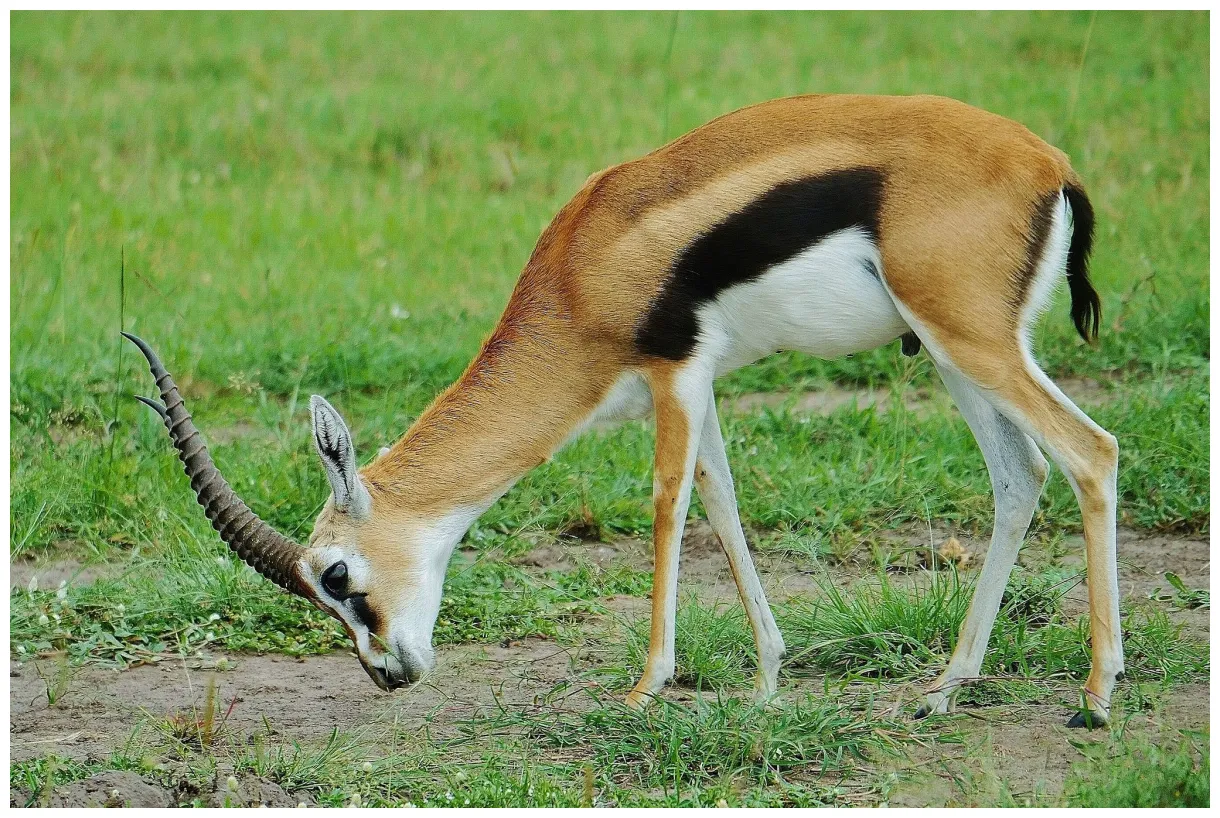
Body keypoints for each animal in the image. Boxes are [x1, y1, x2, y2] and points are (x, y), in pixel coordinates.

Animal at [128, 93, 1121, 727]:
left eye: (336, 576)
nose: (387, 675)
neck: (581, 271)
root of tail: (1052, 164)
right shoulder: (698, 382)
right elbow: (722, 500)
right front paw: (766, 680)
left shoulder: (674, 371)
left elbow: (669, 505)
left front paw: (646, 689)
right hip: (954, 353)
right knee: (1019, 477)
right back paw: (944, 689)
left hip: (972, 343)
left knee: (1092, 451)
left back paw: (1096, 699)